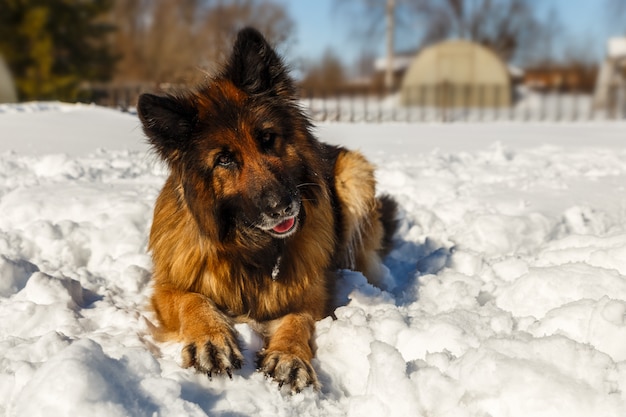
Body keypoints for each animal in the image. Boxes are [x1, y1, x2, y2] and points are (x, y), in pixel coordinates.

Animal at [140, 27, 398, 392]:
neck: (252, 249)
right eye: (224, 160)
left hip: (354, 172)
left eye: (267, 138)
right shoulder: (167, 288)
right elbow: (193, 300)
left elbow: (296, 320)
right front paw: (211, 339)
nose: (282, 207)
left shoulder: (309, 296)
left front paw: (290, 356)